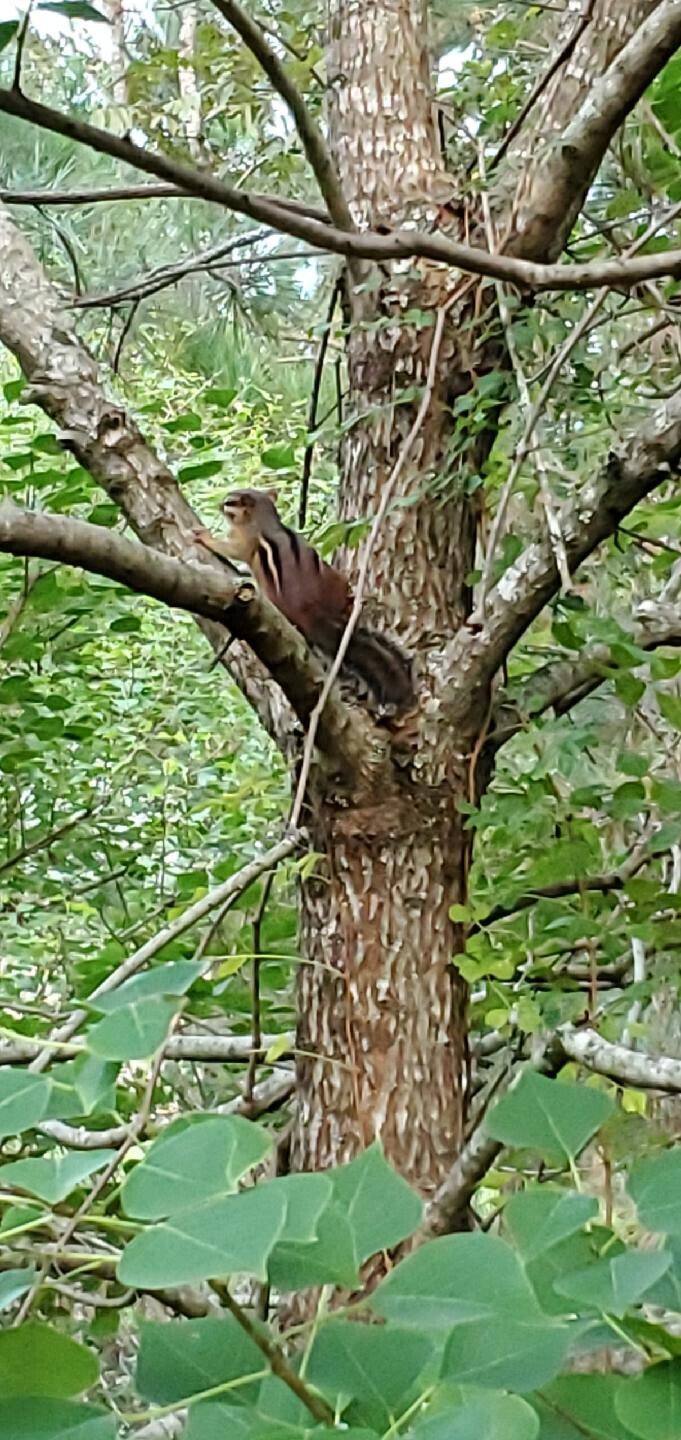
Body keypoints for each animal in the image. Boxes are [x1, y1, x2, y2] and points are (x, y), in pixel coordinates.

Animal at [194, 488, 414, 711]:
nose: (219, 506)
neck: (261, 517)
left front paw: (204, 537)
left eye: (230, 502)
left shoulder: (246, 539)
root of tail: (314, 612)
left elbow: (232, 549)